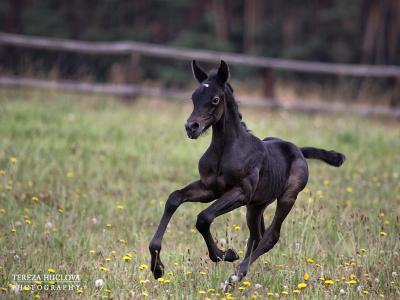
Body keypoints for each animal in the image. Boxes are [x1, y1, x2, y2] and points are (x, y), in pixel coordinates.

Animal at [148, 59, 346, 292]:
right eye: (193, 97)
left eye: (215, 99)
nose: (191, 127)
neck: (226, 150)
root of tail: (298, 149)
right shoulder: (209, 189)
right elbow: (174, 198)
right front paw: (157, 268)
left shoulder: (241, 192)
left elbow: (204, 218)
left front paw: (225, 254)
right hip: (256, 205)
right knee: (256, 235)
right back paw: (236, 276)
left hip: (286, 197)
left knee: (270, 236)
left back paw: (234, 277)